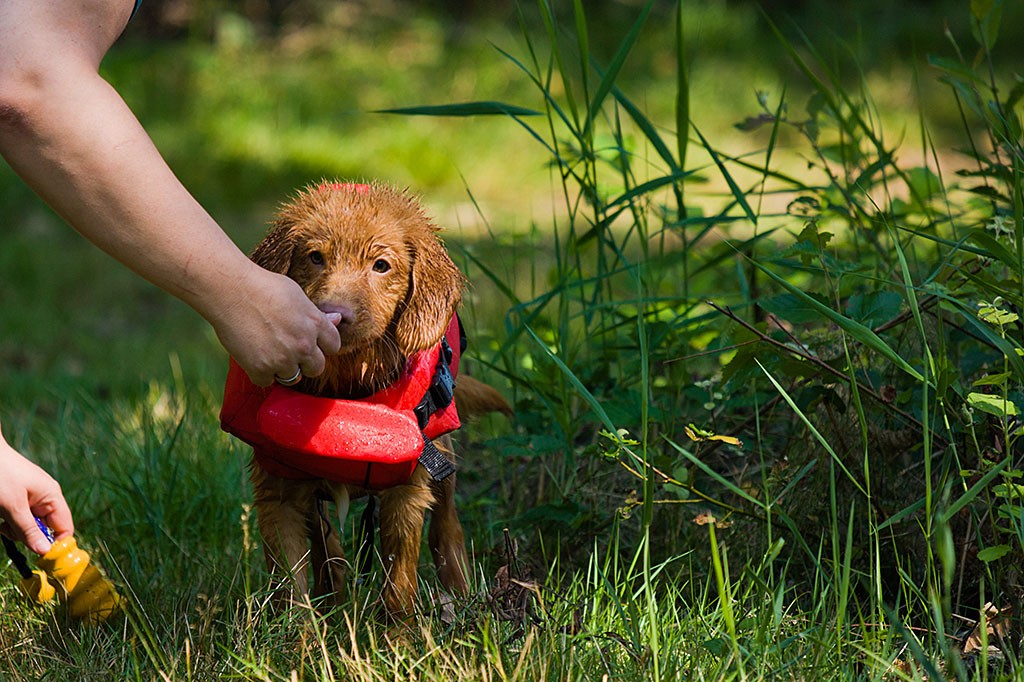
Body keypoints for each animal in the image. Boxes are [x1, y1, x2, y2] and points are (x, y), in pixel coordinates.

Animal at [247, 180, 503, 614]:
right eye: (315, 257)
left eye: (381, 266)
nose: (335, 315)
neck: (345, 384)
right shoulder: (277, 493)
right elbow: (291, 586)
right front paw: (298, 633)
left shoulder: (409, 488)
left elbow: (399, 578)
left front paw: (398, 632)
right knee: (328, 548)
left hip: (442, 457)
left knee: (447, 527)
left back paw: (459, 592)